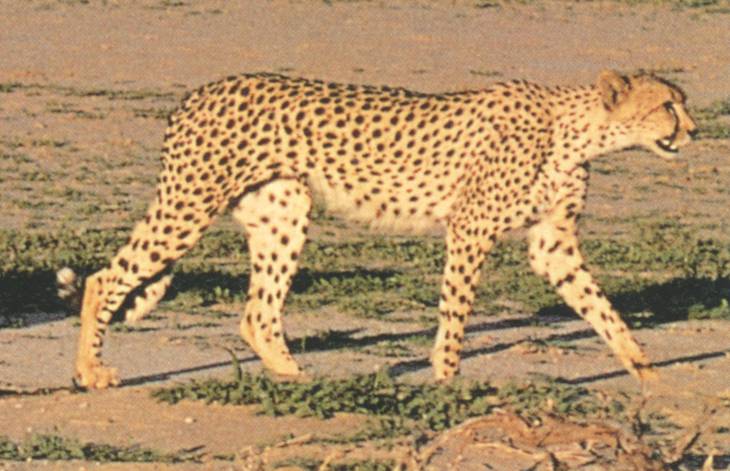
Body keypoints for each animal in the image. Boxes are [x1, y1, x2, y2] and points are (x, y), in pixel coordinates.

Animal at [58, 69, 697, 389]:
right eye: (667, 106)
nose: (694, 130)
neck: (577, 130)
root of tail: (199, 91)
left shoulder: (552, 244)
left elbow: (600, 306)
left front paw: (641, 363)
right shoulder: (470, 229)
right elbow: (456, 311)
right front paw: (447, 379)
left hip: (283, 211)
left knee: (257, 313)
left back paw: (295, 374)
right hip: (191, 204)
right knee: (104, 278)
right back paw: (90, 371)